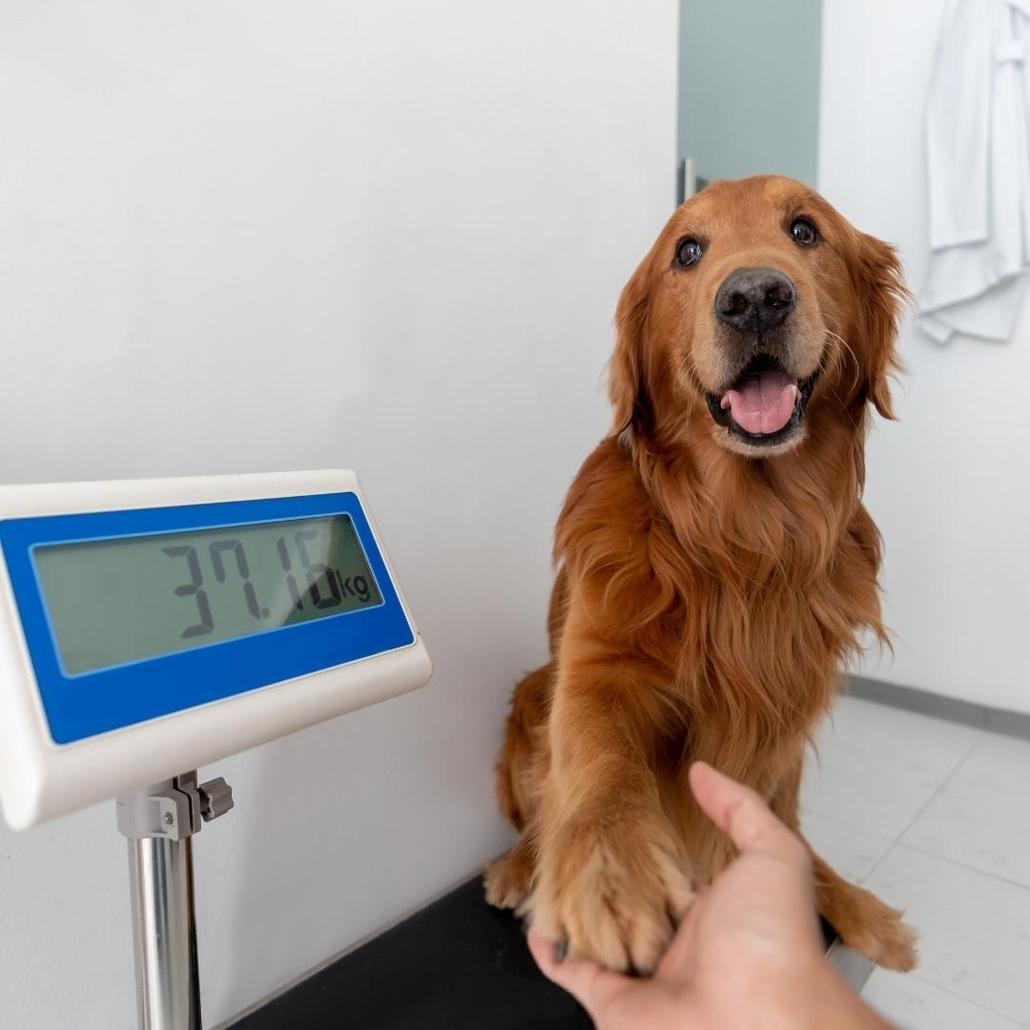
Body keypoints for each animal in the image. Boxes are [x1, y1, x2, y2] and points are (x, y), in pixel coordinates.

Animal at [484, 175, 918, 972]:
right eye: (687, 251)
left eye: (805, 231)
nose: (754, 297)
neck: (742, 538)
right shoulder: (597, 667)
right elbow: (598, 762)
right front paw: (611, 871)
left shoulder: (786, 708)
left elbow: (777, 824)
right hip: (531, 693)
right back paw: (518, 867)